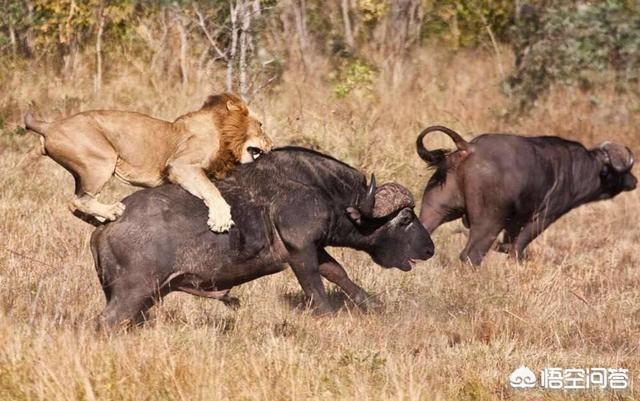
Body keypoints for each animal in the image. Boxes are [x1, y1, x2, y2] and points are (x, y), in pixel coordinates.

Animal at [24, 91, 272, 231]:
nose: (271, 144)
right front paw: (221, 219)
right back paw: (112, 211)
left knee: (75, 202)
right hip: (102, 161)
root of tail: (50, 125)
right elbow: (211, 190)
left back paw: (102, 219)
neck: (224, 132)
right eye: (260, 125)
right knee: (77, 201)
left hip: (85, 170)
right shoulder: (180, 165)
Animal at [90, 145, 436, 326]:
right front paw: (327, 315)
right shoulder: (301, 251)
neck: (322, 190)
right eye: (406, 219)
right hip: (133, 293)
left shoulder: (316, 248)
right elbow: (315, 287)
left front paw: (372, 304)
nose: (430, 249)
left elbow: (338, 272)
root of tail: (103, 227)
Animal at [416, 126, 636, 266]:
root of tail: (469, 148)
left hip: (436, 210)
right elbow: (518, 247)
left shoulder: (515, 221)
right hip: (489, 222)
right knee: (471, 255)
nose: (634, 181)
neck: (579, 168)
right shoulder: (545, 217)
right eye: (622, 171)